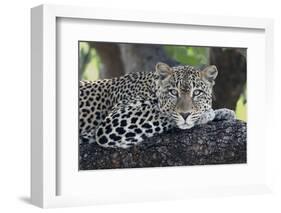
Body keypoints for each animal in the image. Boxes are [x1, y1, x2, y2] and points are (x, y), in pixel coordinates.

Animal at [79, 61, 234, 148]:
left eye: (197, 92)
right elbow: (163, 113)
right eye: (173, 92)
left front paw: (223, 112)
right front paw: (207, 114)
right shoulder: (114, 121)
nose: (185, 114)